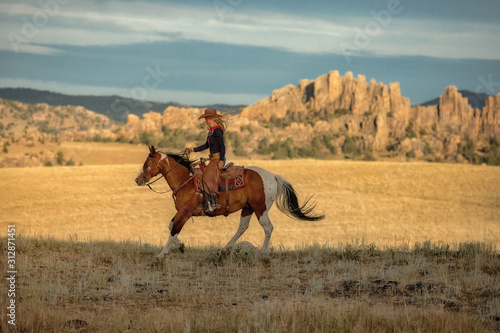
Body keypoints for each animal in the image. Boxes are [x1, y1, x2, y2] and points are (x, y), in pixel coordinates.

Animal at [136, 144, 324, 258]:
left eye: (146, 163)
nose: (138, 179)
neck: (186, 181)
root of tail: (273, 176)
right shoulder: (182, 213)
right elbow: (171, 227)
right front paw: (181, 246)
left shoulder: (185, 212)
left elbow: (173, 231)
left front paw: (161, 254)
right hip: (248, 208)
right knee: (243, 227)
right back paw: (225, 249)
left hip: (260, 208)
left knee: (268, 228)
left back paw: (263, 253)